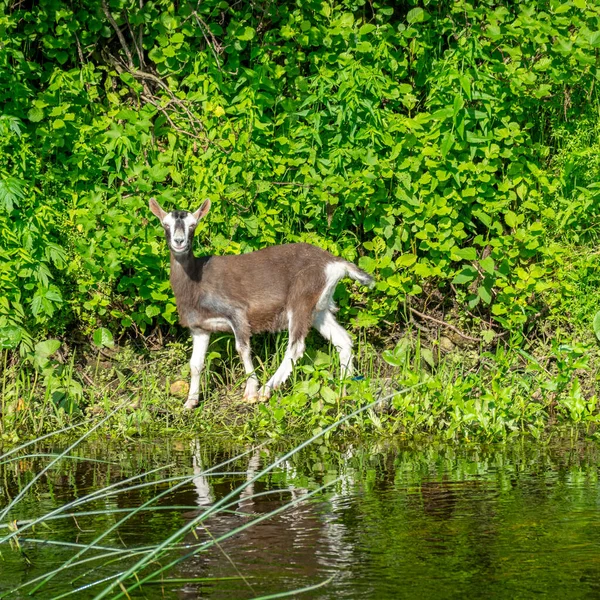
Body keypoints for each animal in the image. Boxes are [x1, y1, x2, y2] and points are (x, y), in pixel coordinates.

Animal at [149, 197, 372, 408]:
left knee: (296, 346)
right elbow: (195, 363)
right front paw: (190, 402)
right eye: (165, 224)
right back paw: (344, 391)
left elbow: (242, 348)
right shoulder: (200, 328)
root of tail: (336, 263)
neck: (197, 280)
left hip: (301, 299)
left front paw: (251, 392)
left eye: (193, 224)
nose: (179, 241)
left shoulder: (236, 313)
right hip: (319, 309)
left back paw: (267, 389)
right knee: (343, 340)